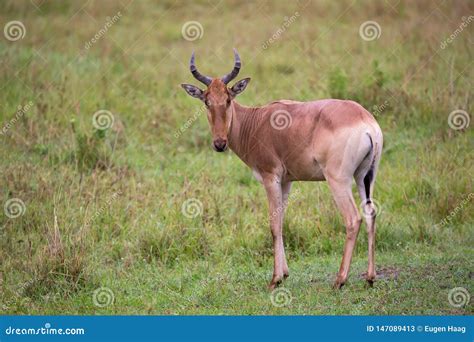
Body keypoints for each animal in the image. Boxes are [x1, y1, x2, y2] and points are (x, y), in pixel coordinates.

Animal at [180, 49, 384, 290]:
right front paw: (284, 274)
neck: (257, 120)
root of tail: (366, 122)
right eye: (206, 101)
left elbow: (273, 224)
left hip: (338, 179)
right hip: (365, 176)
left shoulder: (271, 177)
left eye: (228, 99)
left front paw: (275, 279)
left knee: (353, 219)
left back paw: (339, 280)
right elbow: (282, 220)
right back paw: (370, 277)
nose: (220, 144)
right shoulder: (286, 181)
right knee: (370, 212)